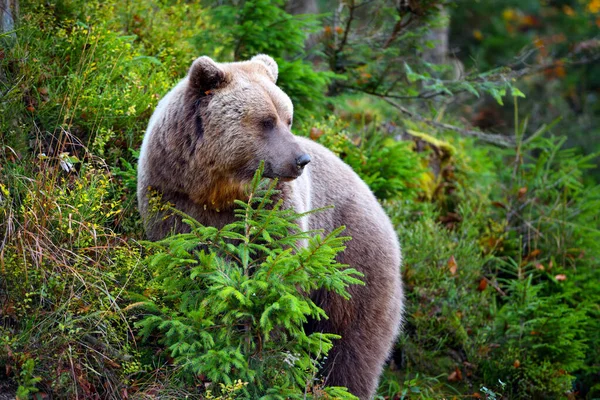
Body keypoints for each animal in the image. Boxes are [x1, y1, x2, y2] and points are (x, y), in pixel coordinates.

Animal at [138, 54, 406, 398]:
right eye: (266, 121)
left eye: (287, 117)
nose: (302, 159)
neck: (217, 190)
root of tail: (380, 207)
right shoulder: (171, 196)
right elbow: (186, 261)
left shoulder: (275, 211)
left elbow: (278, 276)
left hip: (355, 263)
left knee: (353, 343)